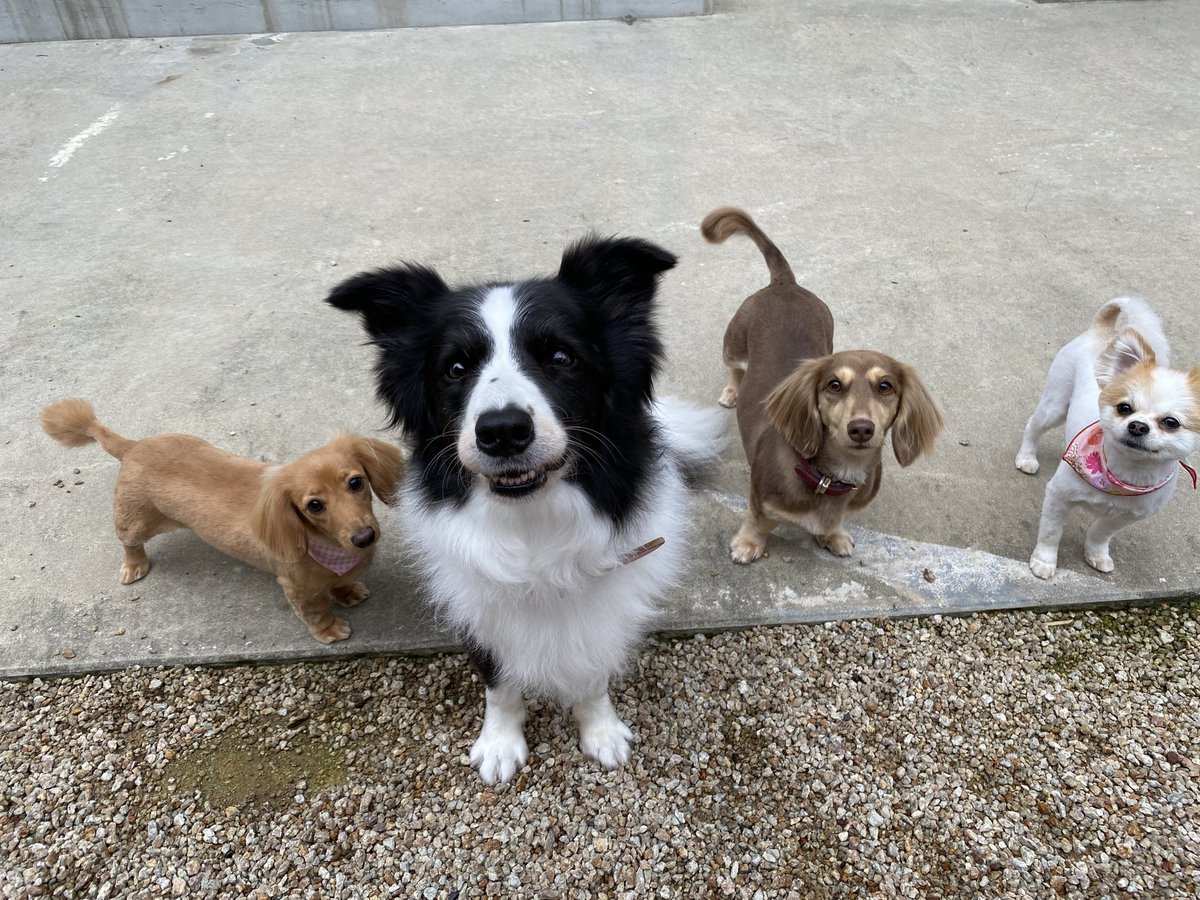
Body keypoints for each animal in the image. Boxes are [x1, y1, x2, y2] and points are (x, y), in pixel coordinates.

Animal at [324, 236, 724, 787]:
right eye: (455, 369)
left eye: (561, 356)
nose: (502, 431)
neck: (533, 522)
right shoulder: (480, 606)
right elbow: (500, 684)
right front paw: (500, 744)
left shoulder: (600, 605)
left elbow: (590, 671)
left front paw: (600, 731)